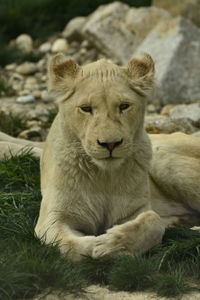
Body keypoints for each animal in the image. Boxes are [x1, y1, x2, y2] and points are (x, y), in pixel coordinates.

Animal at [33, 52, 199, 262]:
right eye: (86, 108)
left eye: (124, 106)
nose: (110, 144)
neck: (104, 176)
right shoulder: (52, 217)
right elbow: (68, 246)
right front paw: (95, 246)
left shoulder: (138, 209)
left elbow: (153, 221)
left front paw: (111, 244)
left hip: (163, 158)